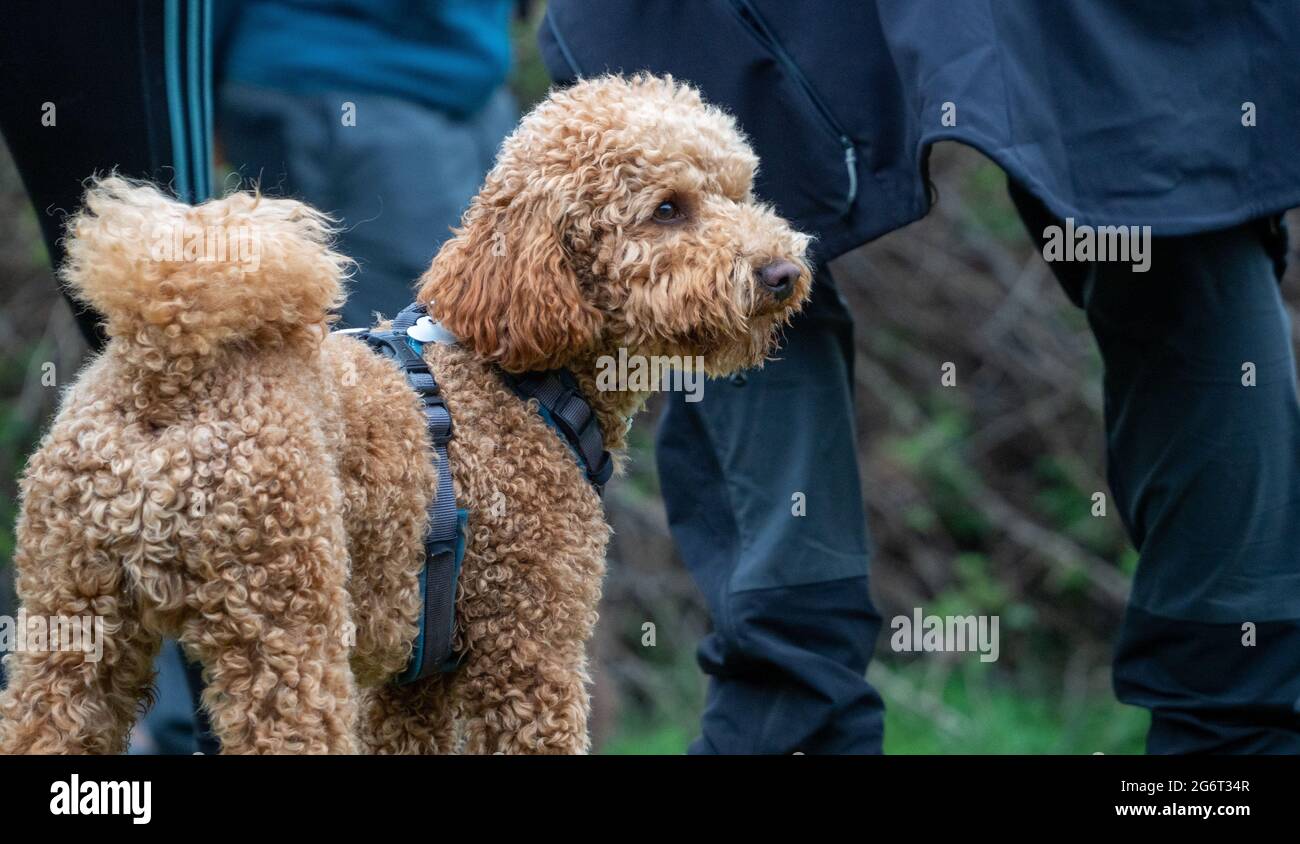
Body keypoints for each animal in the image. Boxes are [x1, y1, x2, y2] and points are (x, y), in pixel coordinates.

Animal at [0, 75, 806, 754]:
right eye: (668, 209)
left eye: (741, 192)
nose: (784, 273)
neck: (515, 376)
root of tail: (166, 377)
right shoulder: (529, 651)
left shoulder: (409, 684)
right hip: (286, 629)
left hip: (71, 625)